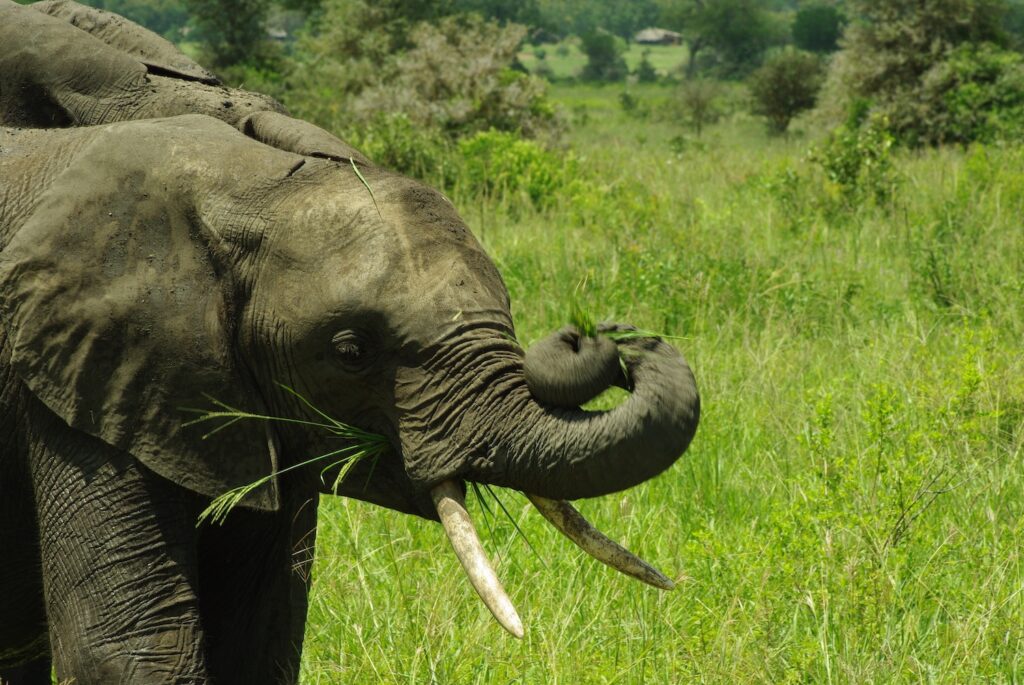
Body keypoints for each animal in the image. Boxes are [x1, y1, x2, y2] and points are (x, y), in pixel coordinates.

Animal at [0, 2, 700, 683]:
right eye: (350, 352)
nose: (608, 337)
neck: (242, 180)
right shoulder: (89, 377)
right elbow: (133, 648)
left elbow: (261, 636)